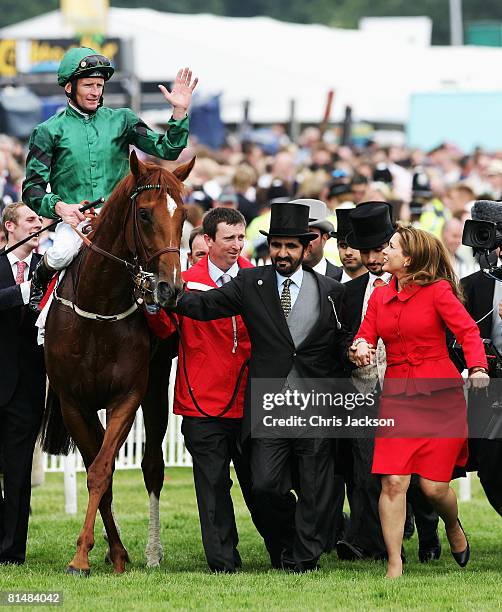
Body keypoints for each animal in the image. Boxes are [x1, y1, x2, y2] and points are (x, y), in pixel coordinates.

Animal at [39, 152, 191, 572]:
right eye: (144, 214)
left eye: (184, 214)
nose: (170, 288)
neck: (99, 306)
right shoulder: (74, 403)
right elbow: (97, 473)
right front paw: (98, 552)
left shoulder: (128, 396)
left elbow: (102, 469)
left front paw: (92, 554)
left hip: (156, 386)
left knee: (152, 465)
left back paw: (153, 552)